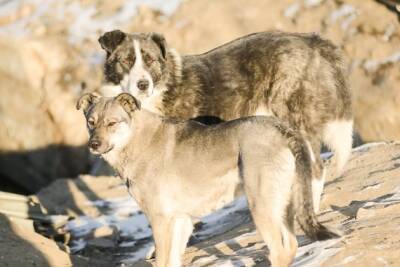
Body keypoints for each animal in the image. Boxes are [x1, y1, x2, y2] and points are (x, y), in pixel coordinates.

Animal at [76, 92, 340, 267]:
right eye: (91, 122)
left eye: (112, 123)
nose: (93, 145)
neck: (135, 141)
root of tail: (283, 129)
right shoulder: (181, 220)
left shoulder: (160, 219)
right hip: (284, 204)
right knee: (292, 245)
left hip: (262, 206)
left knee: (280, 251)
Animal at [98, 29, 354, 214]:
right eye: (127, 61)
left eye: (150, 60)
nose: (143, 84)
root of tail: (311, 40)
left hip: (292, 115)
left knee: (316, 168)